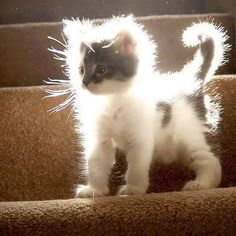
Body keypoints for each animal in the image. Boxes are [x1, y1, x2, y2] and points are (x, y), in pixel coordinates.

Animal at [57, 15, 229, 197]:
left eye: (101, 69)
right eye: (81, 70)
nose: (84, 83)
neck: (112, 100)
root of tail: (191, 80)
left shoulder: (140, 137)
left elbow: (136, 168)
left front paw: (134, 189)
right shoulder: (99, 139)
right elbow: (96, 165)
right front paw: (94, 190)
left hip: (191, 135)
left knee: (211, 160)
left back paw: (201, 184)